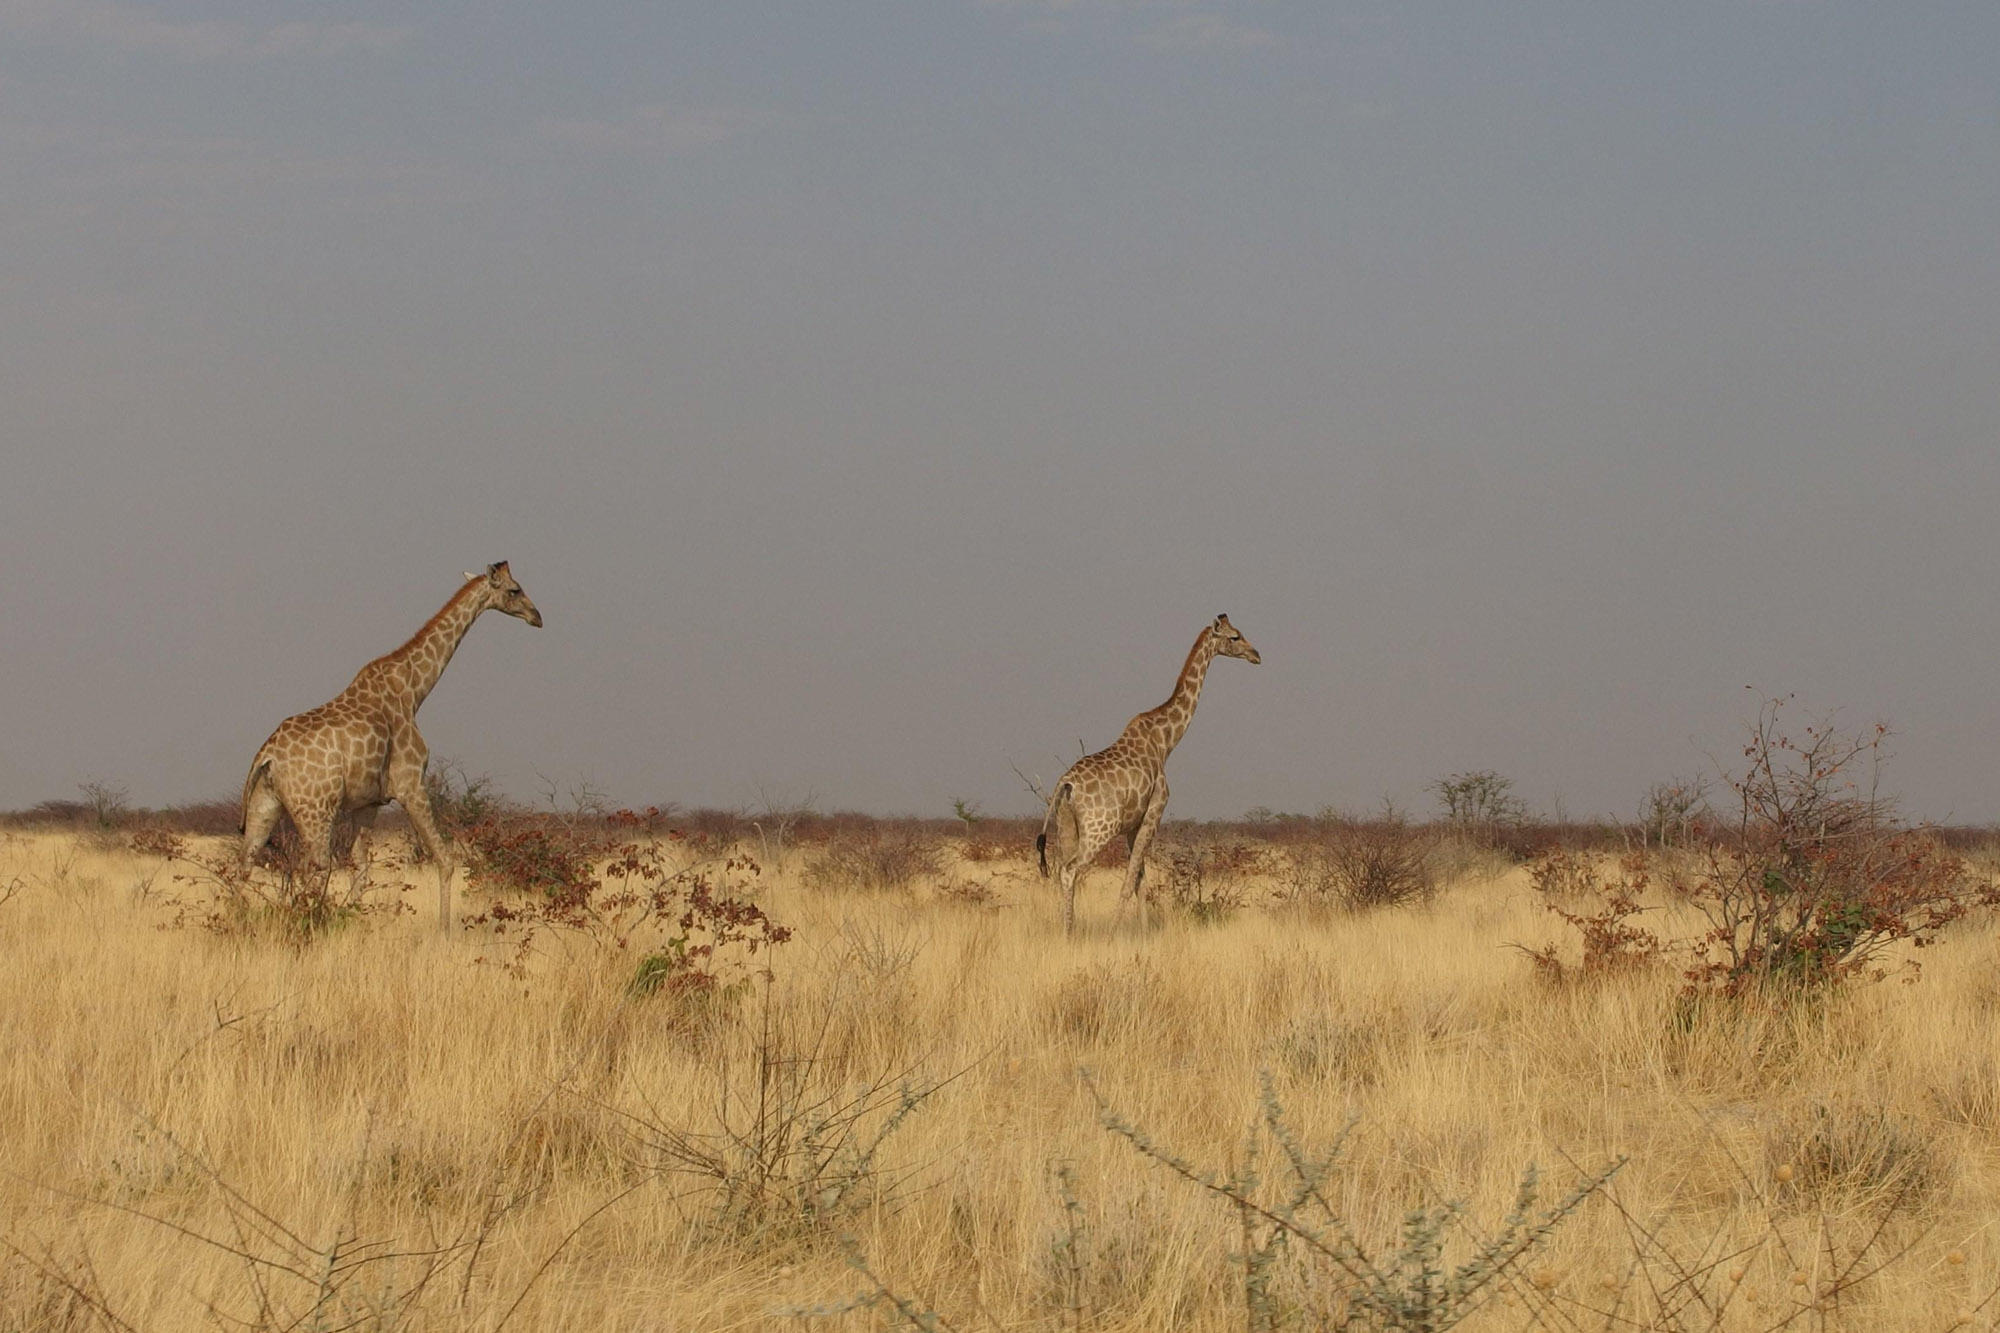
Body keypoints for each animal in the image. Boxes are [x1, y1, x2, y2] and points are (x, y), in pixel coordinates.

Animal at [238, 560, 544, 924]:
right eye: (515, 589)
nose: (537, 616)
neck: (414, 690)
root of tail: (267, 754)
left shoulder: (367, 802)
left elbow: (361, 866)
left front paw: (353, 917)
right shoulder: (412, 785)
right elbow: (445, 859)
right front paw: (444, 929)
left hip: (265, 804)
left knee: (246, 865)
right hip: (316, 809)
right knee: (313, 866)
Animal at [1040, 608, 1256, 928]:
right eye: (1235, 636)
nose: (1257, 655)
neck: (1166, 742)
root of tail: (1066, 783)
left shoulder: (1134, 823)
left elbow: (1140, 880)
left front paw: (1141, 930)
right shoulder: (1155, 809)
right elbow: (1130, 880)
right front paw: (1116, 931)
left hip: (1066, 826)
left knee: (1062, 872)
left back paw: (1067, 929)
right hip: (1099, 828)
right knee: (1070, 870)